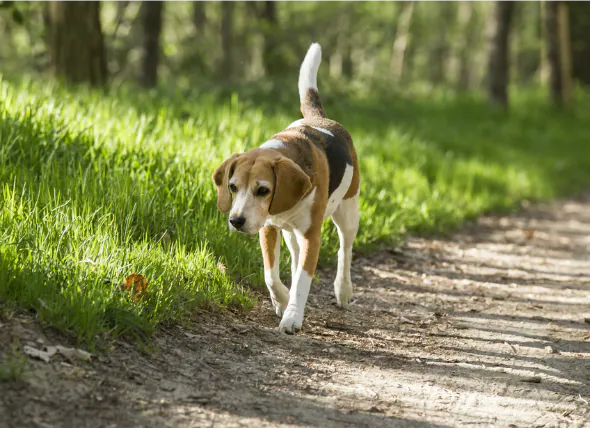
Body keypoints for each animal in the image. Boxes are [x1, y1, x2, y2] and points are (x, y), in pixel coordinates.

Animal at [213, 42, 360, 334]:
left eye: (263, 190)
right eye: (232, 187)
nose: (236, 221)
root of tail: (320, 119)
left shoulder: (312, 236)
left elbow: (303, 280)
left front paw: (292, 316)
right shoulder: (268, 228)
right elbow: (270, 275)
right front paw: (281, 300)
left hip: (348, 213)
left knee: (344, 250)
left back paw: (343, 289)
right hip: (292, 234)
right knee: (294, 258)